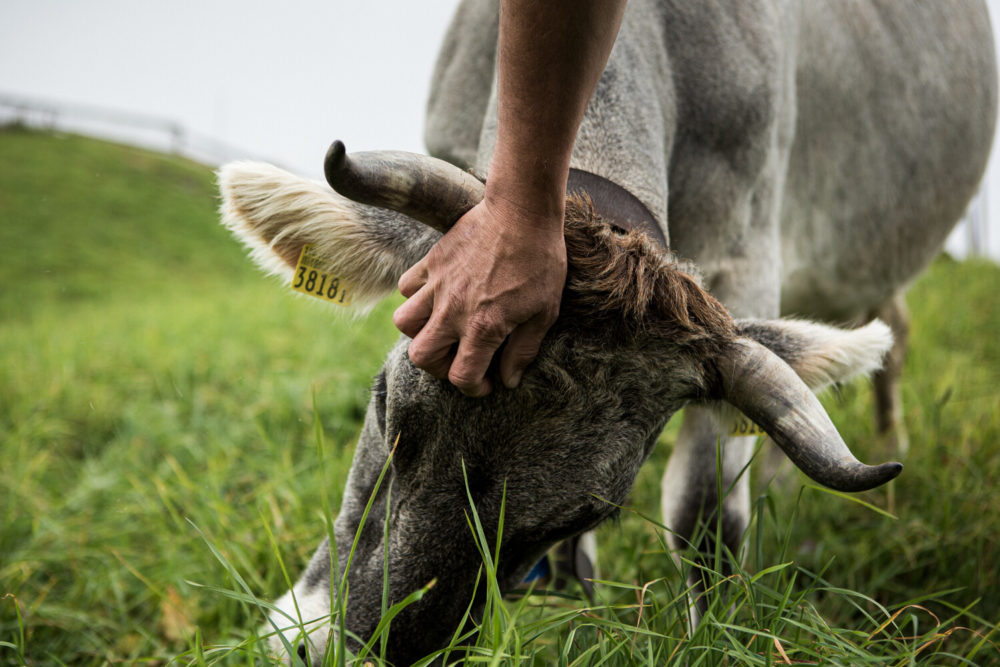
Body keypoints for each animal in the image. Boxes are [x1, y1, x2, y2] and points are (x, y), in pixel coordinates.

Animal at [217, 0, 992, 664]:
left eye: (585, 512)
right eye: (386, 406)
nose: (355, 651)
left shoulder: (749, 251)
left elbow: (703, 512)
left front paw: (711, 635)